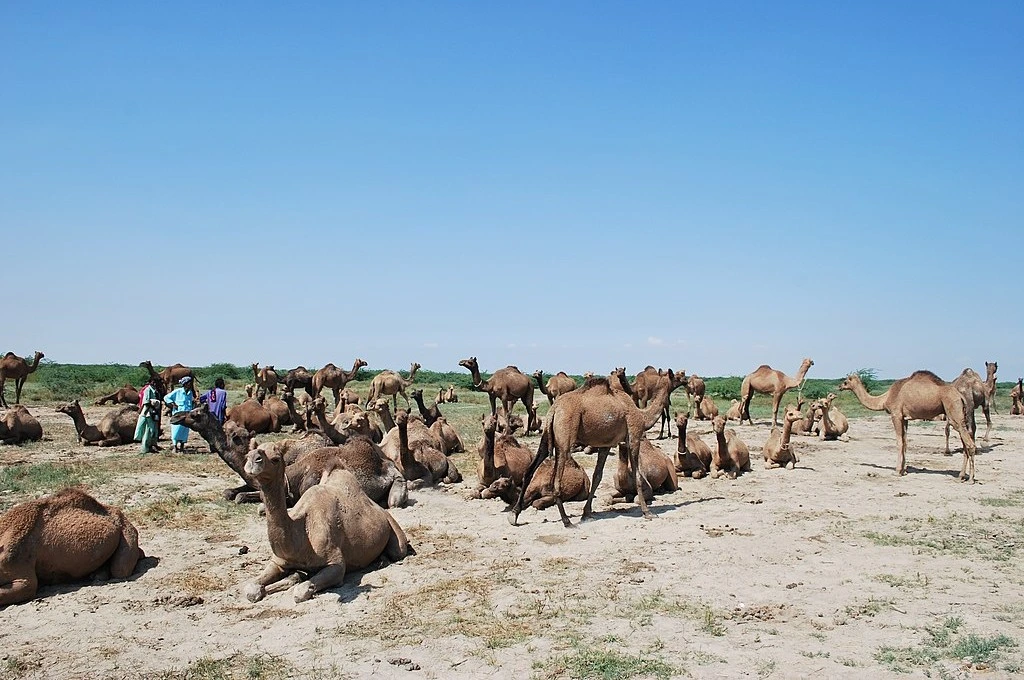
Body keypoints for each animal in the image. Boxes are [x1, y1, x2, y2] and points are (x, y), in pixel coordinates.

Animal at [241, 446, 410, 604]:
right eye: (248, 455)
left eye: (276, 459)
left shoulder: (336, 564)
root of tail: (379, 507)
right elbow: (251, 588)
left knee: (398, 550)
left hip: (392, 526)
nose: (253, 458)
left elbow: (301, 591)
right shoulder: (278, 561)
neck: (301, 532)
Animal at [510, 372, 676, 527]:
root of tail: (554, 409)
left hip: (546, 435)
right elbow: (638, 476)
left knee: (530, 470)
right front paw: (647, 512)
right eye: (677, 376)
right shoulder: (634, 438)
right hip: (564, 435)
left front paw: (586, 514)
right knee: (556, 479)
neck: (643, 416)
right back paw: (566, 521)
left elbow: (597, 476)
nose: (683, 379)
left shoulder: (606, 445)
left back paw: (514, 514)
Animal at [838, 371, 978, 482]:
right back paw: (961, 476)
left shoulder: (896, 415)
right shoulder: (905, 418)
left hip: (953, 410)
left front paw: (897, 471)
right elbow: (905, 442)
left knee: (970, 444)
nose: (839, 386)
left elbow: (899, 442)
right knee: (965, 442)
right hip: (959, 415)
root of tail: (960, 396)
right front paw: (904, 470)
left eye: (846, 381)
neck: (885, 398)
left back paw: (971, 479)